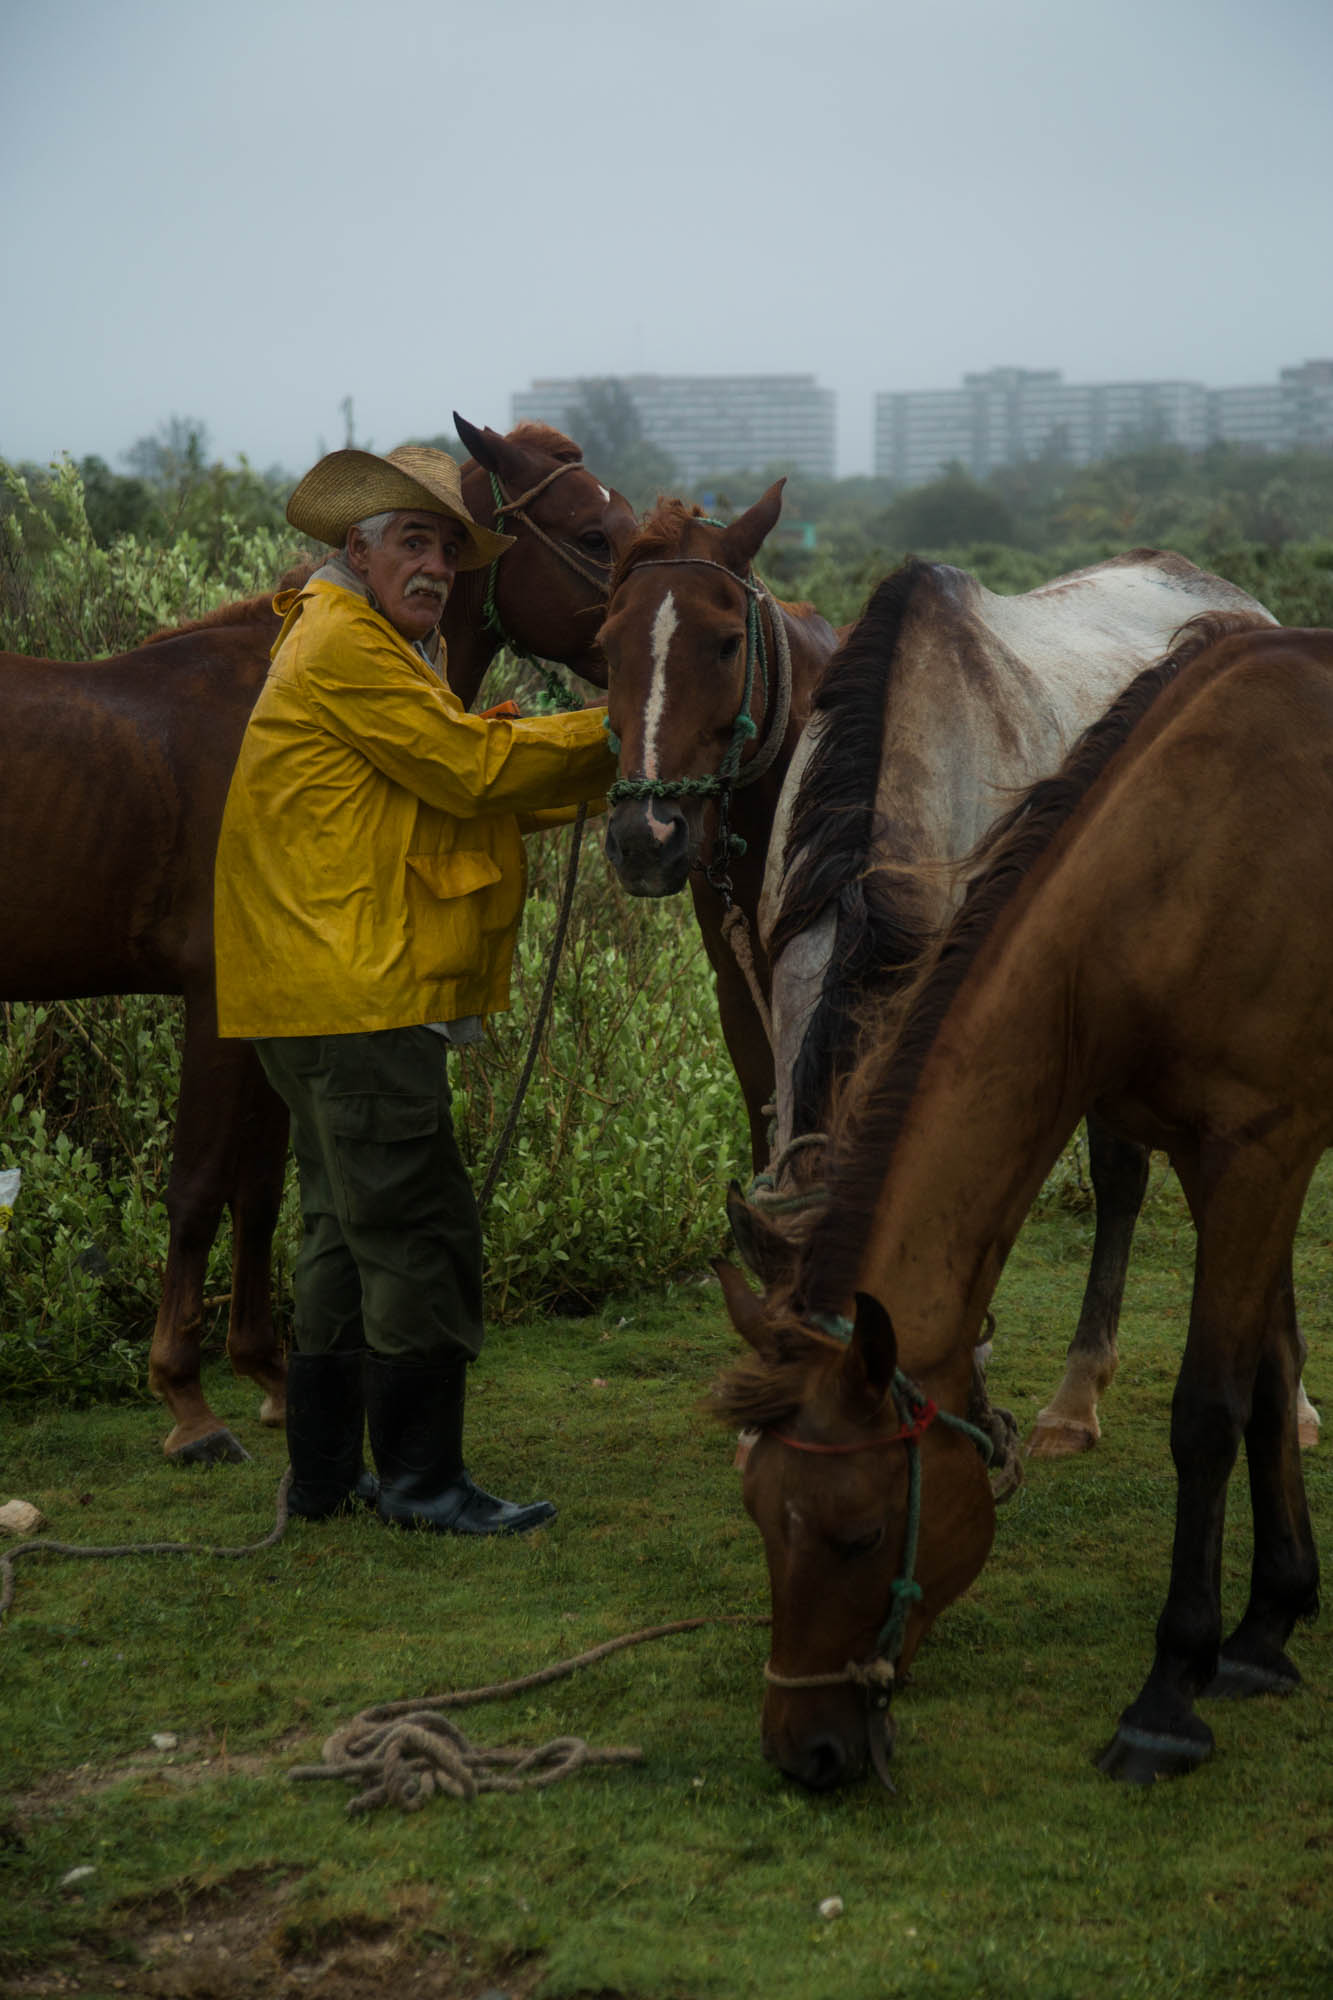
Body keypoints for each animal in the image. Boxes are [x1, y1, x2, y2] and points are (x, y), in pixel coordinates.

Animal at [1, 422, 632, 1464]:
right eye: (593, 533)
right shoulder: (218, 1001)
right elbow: (198, 1188)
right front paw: (186, 1401)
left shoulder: (281, 1008)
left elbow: (261, 1190)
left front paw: (265, 1374)